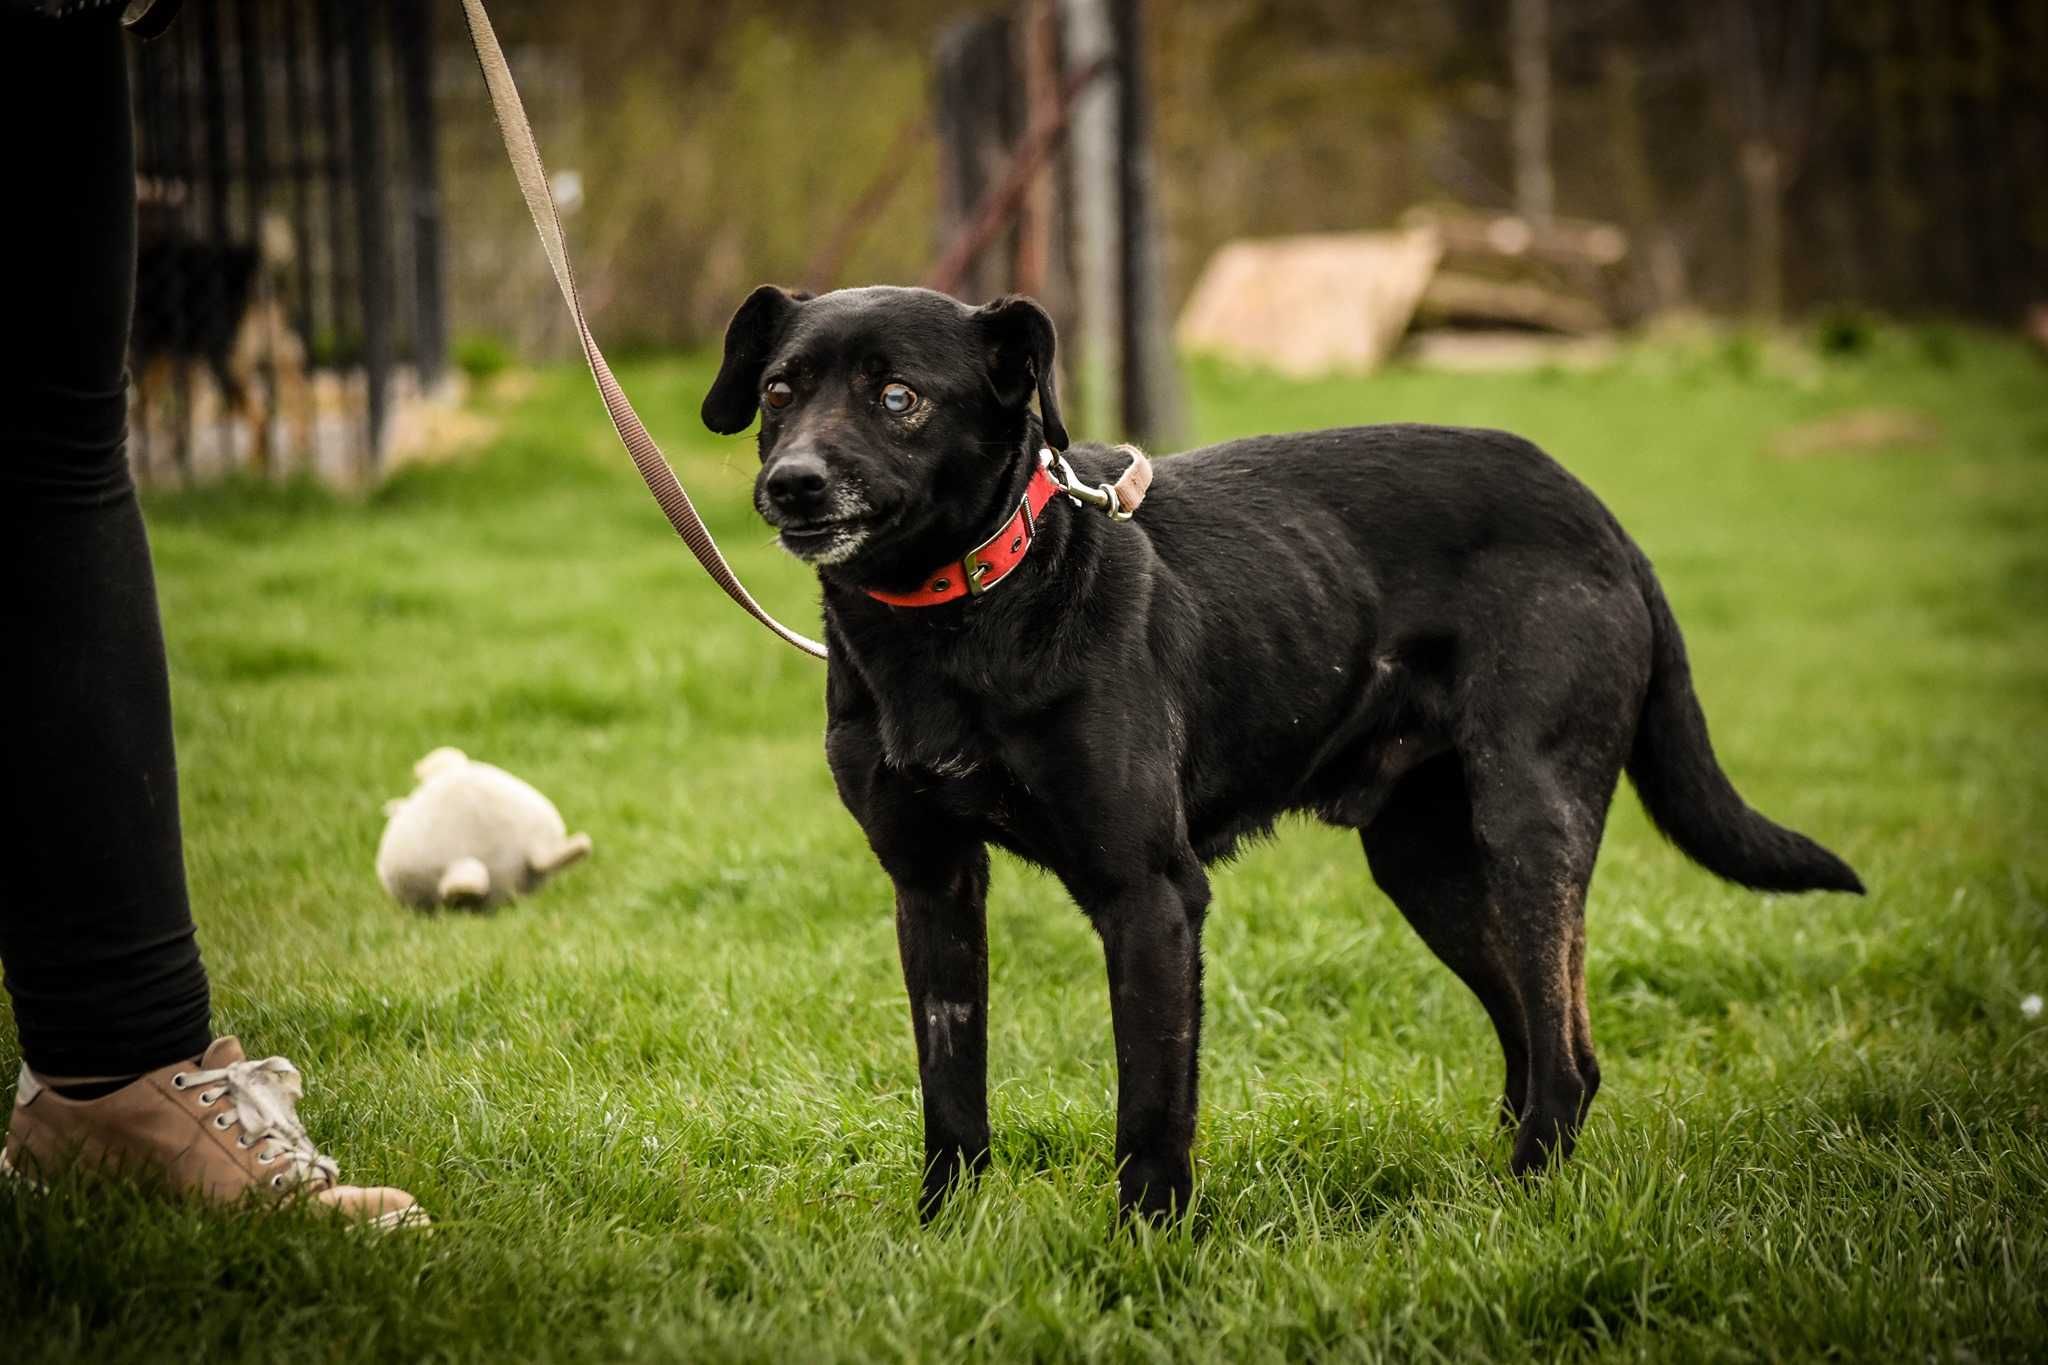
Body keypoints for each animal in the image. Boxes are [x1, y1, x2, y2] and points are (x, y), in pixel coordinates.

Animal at [700, 282, 1859, 1219]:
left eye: (899, 398)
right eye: (778, 391)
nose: (793, 484)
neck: (960, 611)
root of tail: (1601, 516)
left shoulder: (1150, 893)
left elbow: (1150, 1109)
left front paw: (1143, 1259)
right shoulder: (931, 884)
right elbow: (951, 1097)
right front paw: (946, 1239)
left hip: (1530, 818)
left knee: (1565, 1052)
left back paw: (1520, 1201)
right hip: (1425, 863)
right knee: (1537, 1038)